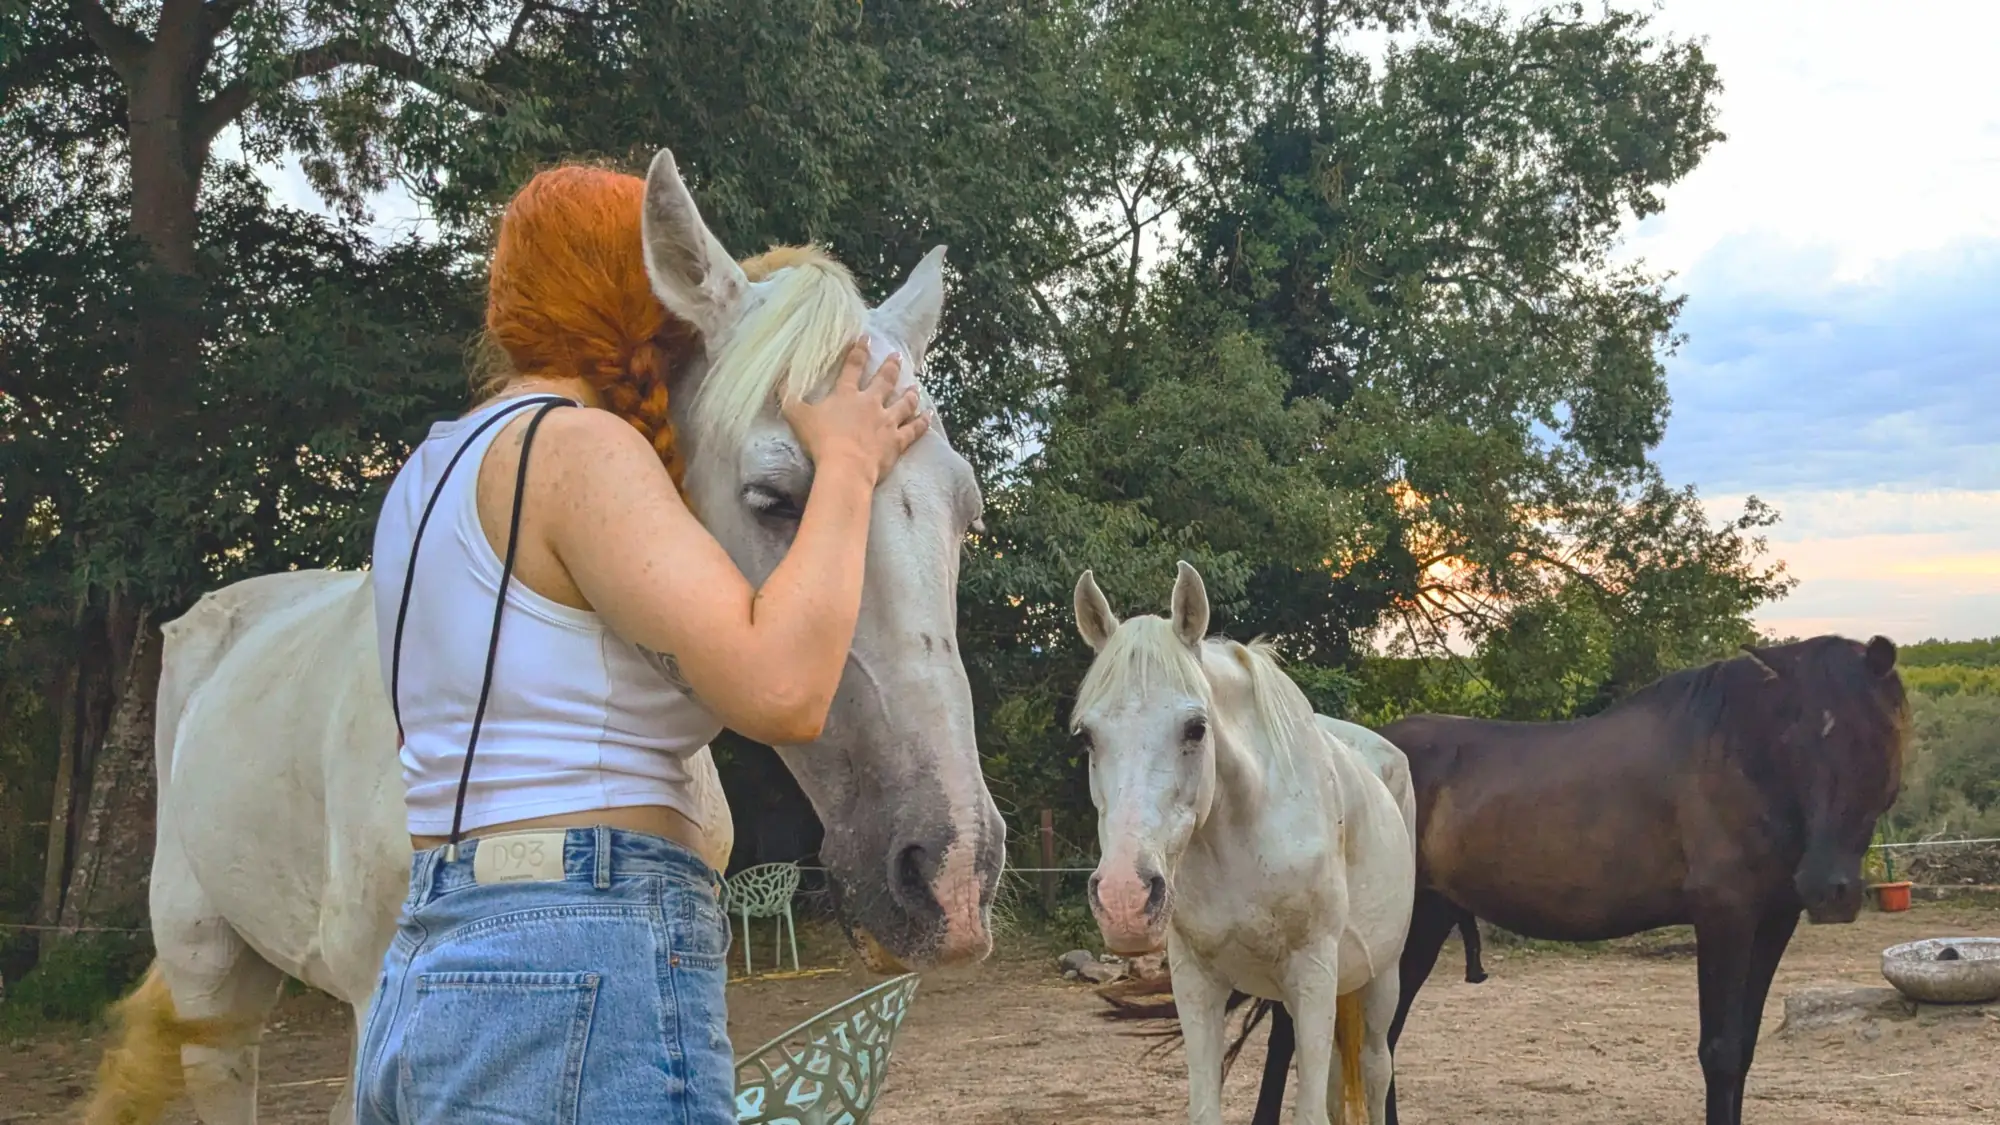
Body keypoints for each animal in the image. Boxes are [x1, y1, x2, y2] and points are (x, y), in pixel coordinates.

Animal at [1071, 562, 1416, 1125]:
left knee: (1374, 1068)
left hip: (1380, 979)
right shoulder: (1196, 983)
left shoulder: (1314, 976)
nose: (1125, 900)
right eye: (1086, 737)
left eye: (1195, 727)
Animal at [1185, 635, 1910, 1125]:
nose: (1830, 887)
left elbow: (1746, 1048)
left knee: (1372, 1042)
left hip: (1418, 924)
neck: (1737, 756)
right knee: (1295, 1039)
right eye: (1794, 738)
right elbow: (1722, 1050)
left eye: (1870, 737)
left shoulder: (1772, 920)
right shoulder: (1724, 916)